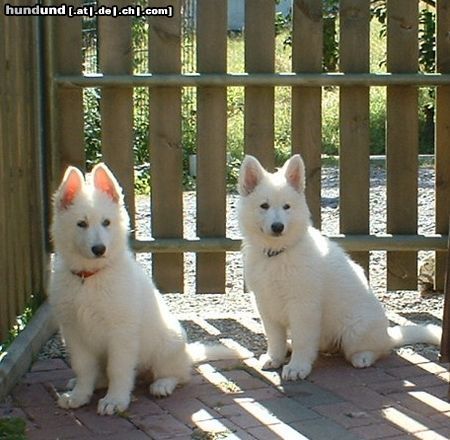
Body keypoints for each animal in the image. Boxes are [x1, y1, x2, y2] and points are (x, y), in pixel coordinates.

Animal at [49, 165, 244, 416]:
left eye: (106, 222)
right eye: (81, 224)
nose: (99, 249)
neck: (89, 278)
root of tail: (186, 353)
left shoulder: (121, 333)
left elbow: (118, 369)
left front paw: (115, 400)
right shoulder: (74, 332)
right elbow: (83, 368)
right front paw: (79, 395)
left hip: (167, 346)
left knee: (179, 374)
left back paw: (162, 384)